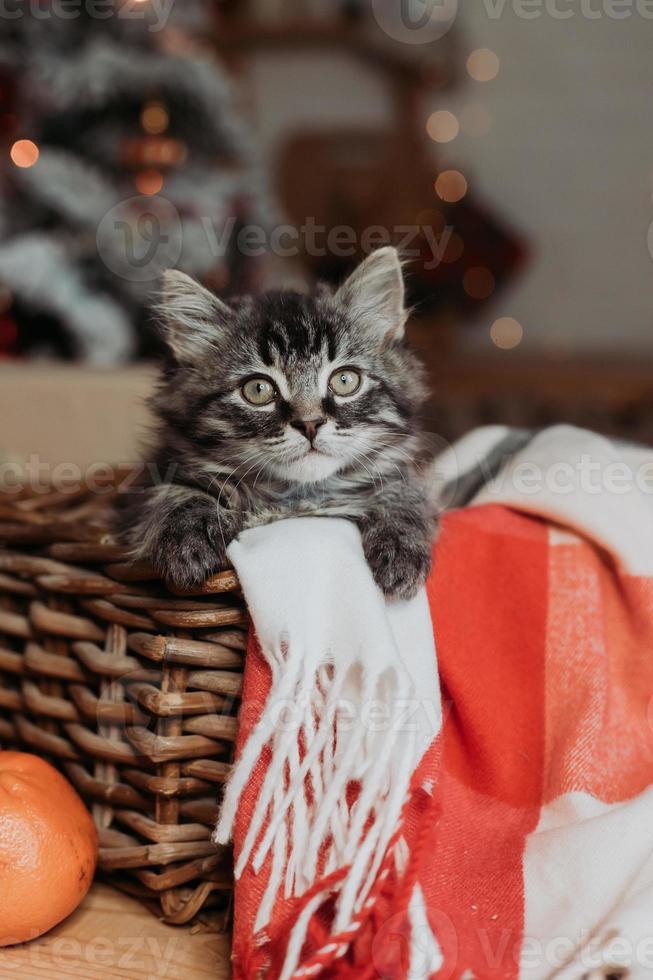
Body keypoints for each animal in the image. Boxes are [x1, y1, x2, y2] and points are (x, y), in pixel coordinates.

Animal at [123, 245, 438, 596]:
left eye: (345, 381)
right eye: (258, 390)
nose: (310, 423)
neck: (296, 499)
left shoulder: (399, 476)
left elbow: (405, 494)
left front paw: (401, 547)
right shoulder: (140, 487)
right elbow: (172, 494)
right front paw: (189, 541)